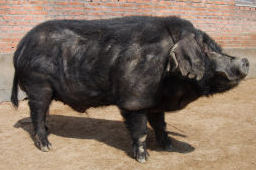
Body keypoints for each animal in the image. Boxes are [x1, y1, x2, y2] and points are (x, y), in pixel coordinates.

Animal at [11, 16, 249, 163]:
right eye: (206, 50)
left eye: (215, 47)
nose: (244, 60)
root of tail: (20, 47)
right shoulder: (135, 100)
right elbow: (141, 130)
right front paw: (144, 159)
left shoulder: (155, 102)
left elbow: (160, 124)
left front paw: (169, 147)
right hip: (38, 83)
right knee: (37, 112)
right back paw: (46, 146)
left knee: (43, 113)